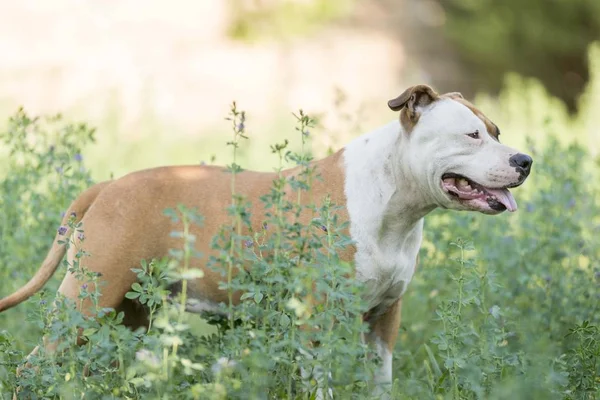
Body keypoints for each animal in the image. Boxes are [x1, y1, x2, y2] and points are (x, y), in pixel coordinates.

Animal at [2, 84, 532, 394]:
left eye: (495, 130)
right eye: (471, 135)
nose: (525, 160)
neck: (392, 201)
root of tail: (106, 187)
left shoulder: (384, 318)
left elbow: (379, 381)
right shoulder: (317, 321)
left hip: (128, 313)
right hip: (85, 303)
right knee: (33, 366)